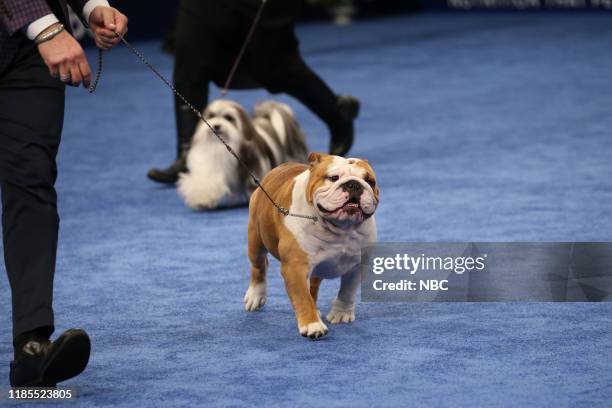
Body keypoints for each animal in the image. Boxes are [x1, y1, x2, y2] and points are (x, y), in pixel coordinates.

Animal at [178, 99, 310, 210]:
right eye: (211, 116)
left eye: (229, 118)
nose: (216, 125)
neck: (220, 147)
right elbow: (206, 180)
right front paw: (203, 199)